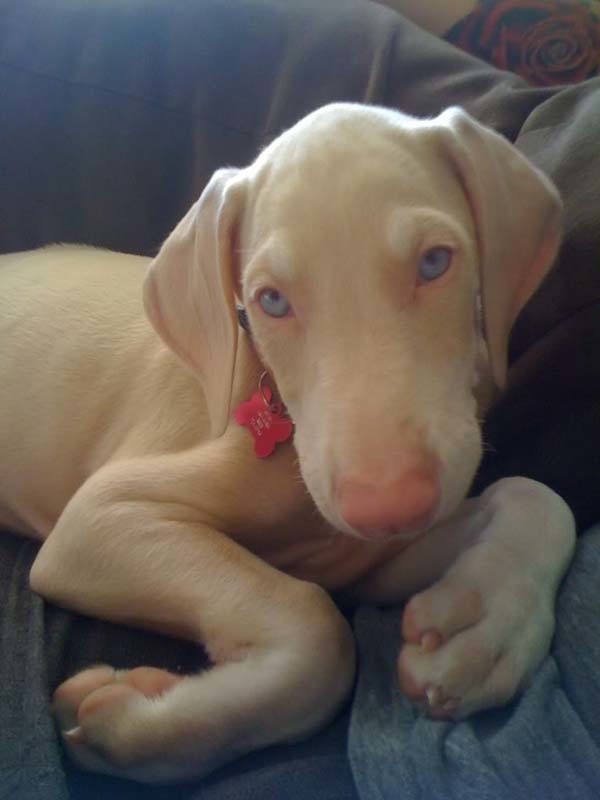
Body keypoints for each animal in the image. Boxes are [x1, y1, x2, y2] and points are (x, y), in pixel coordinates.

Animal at [0, 103, 576, 784]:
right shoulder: (100, 519)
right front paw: (135, 726)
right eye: (270, 301)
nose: (389, 510)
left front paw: (485, 622)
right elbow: (318, 628)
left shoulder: (366, 559)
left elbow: (537, 497)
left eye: (435, 263)